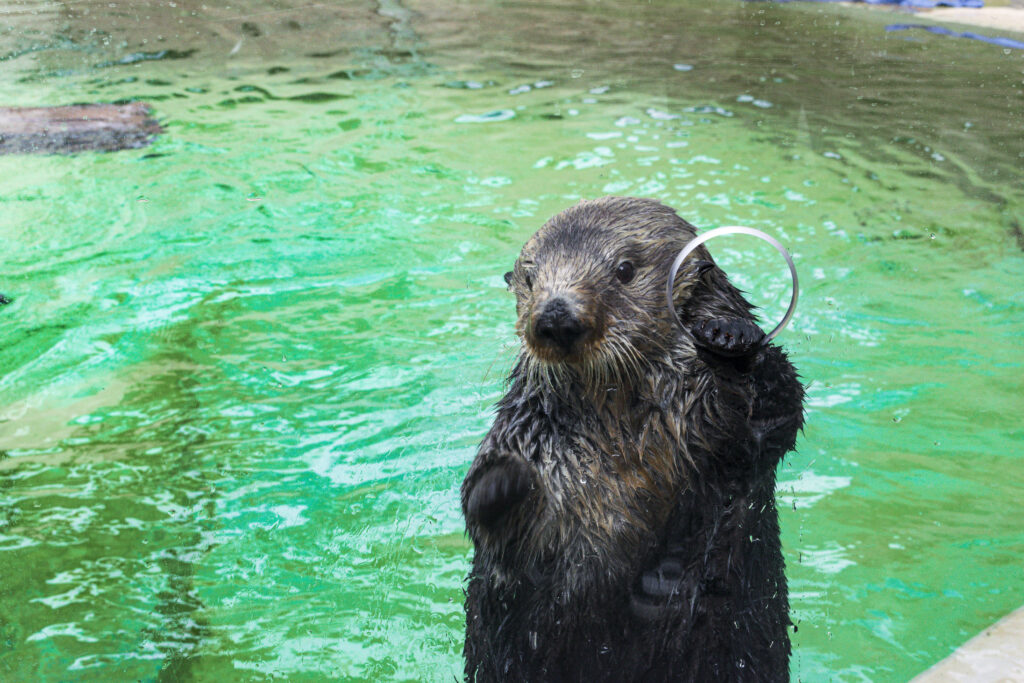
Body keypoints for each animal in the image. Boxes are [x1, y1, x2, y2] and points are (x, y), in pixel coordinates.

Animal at [460, 194, 802, 679]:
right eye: (530, 278)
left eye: (624, 270)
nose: (556, 317)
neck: (626, 419)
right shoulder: (528, 433)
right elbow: (498, 527)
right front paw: (502, 481)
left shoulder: (746, 438)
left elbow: (779, 412)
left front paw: (727, 333)